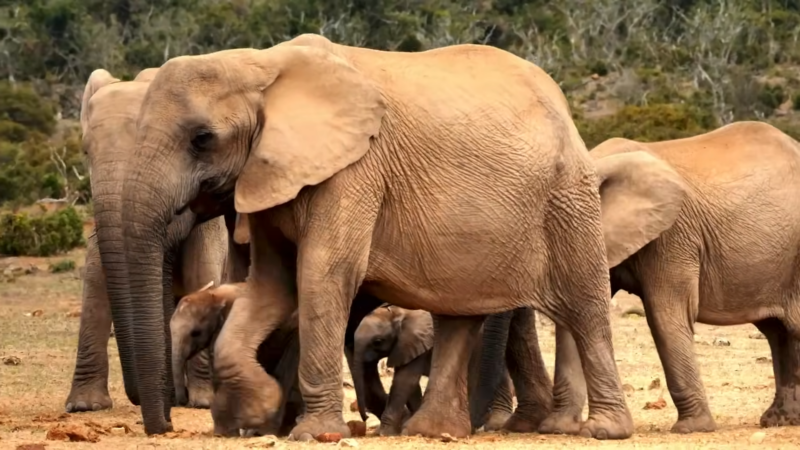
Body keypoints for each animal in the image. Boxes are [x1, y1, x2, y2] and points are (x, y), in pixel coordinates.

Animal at [66, 69, 236, 414]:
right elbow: (95, 280)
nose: (139, 397)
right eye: (87, 152)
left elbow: (202, 275)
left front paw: (203, 401)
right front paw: (85, 406)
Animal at [354, 304, 516, 434]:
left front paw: (384, 433)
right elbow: (411, 385)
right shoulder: (405, 347)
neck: (399, 313)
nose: (365, 417)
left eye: (377, 341)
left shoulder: (417, 342)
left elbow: (405, 380)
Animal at [478, 121, 800, 434]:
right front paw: (559, 429)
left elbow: (664, 315)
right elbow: (577, 315)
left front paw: (691, 428)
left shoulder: (672, 235)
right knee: (777, 331)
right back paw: (779, 420)